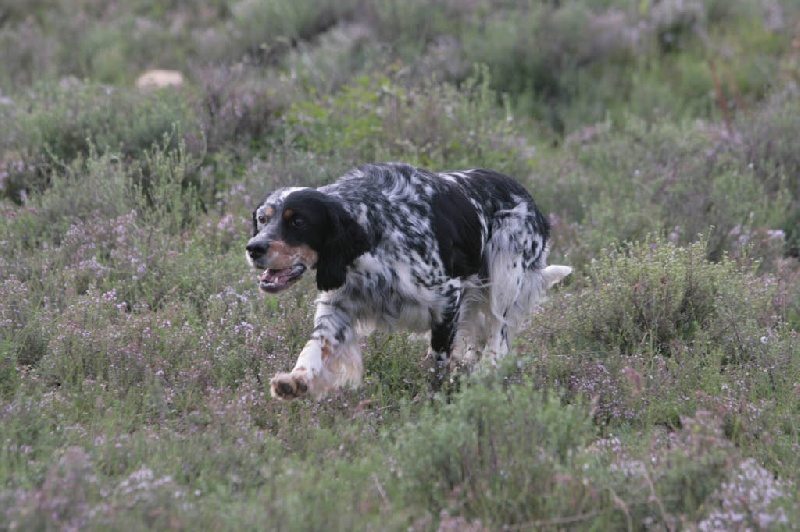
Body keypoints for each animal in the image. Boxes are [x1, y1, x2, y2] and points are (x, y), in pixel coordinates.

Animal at [244, 162, 568, 400]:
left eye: (298, 221)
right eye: (262, 218)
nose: (254, 248)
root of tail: (529, 198)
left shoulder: (449, 297)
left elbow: (438, 360)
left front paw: (436, 397)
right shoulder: (339, 304)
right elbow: (315, 345)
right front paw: (297, 379)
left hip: (505, 274)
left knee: (498, 337)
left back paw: (485, 373)